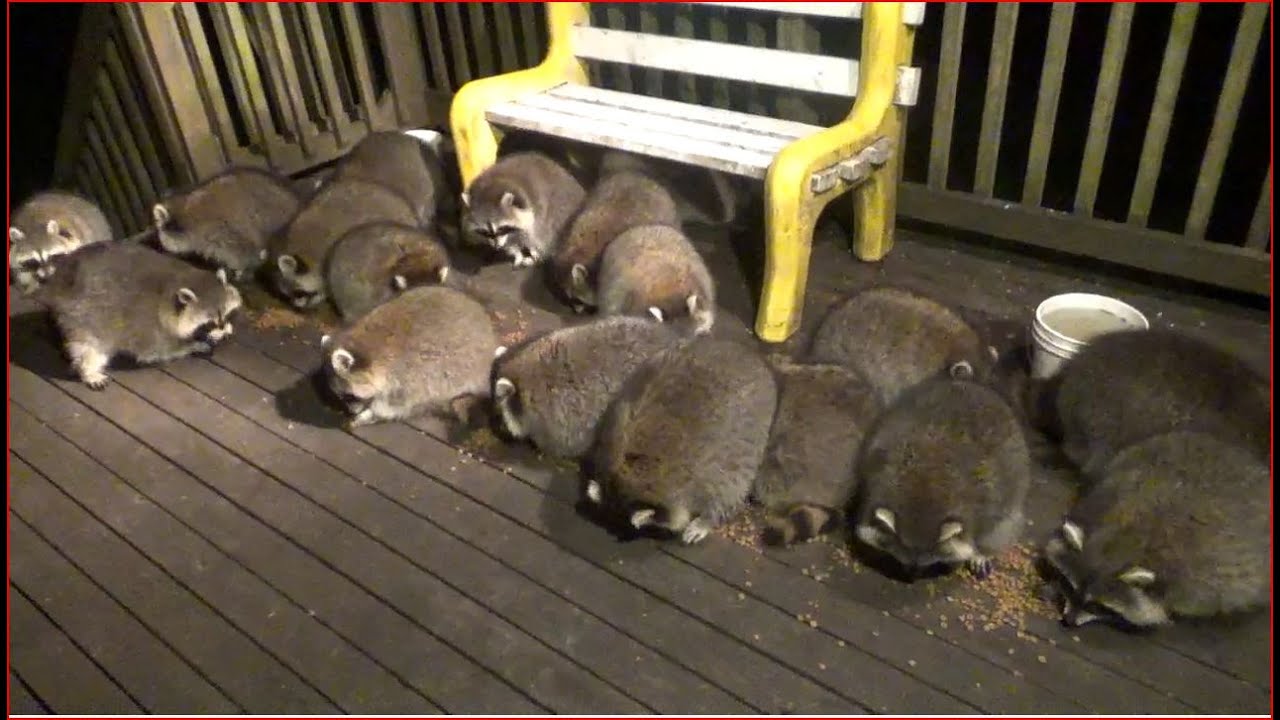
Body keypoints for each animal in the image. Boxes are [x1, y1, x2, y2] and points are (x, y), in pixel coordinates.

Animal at [34, 242, 241, 389]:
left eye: (226, 315)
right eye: (210, 323)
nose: (225, 333)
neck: (173, 286)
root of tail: (56, 281)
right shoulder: (150, 328)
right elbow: (158, 351)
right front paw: (192, 344)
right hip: (78, 317)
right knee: (88, 347)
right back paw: (88, 369)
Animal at [585, 337, 778, 544]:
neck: (625, 471)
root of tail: (750, 355)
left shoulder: (697, 478)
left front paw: (704, 520)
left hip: (750, 439)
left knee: (734, 483)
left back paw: (708, 519)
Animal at [854, 379, 1031, 579]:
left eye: (927, 557)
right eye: (904, 553)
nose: (911, 575)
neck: (924, 484)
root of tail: (969, 384)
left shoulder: (987, 501)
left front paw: (975, 554)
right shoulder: (874, 472)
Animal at [1042, 431, 1270, 629]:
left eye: (1097, 606)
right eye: (1070, 588)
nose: (1068, 621)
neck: (1123, 541)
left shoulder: (1191, 586)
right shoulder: (1097, 503)